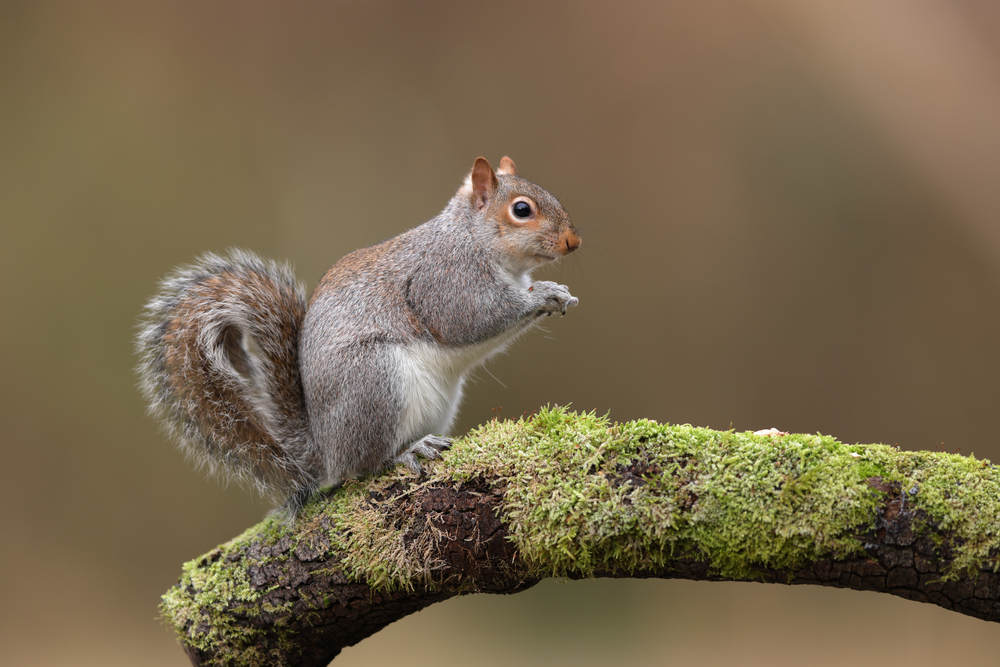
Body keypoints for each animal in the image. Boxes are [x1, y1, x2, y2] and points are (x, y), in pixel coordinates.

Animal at [136, 156, 581, 518]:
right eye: (521, 210)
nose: (573, 242)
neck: (472, 238)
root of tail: (324, 449)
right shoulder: (443, 280)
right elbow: (470, 319)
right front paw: (543, 294)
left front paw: (558, 293)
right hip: (374, 381)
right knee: (364, 465)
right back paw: (406, 452)